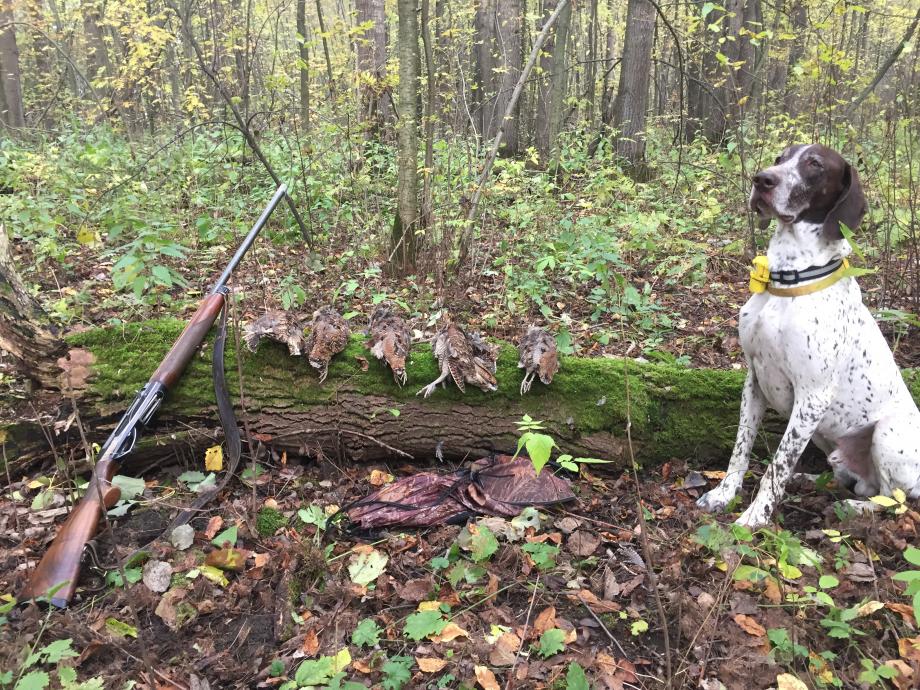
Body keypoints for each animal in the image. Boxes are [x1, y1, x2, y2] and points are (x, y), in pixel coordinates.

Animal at [697, 144, 920, 528]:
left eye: (814, 164)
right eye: (780, 157)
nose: (762, 179)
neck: (789, 279)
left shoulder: (812, 397)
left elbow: (777, 466)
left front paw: (755, 517)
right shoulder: (754, 380)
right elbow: (741, 449)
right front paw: (724, 494)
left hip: (886, 434)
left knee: (893, 499)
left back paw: (857, 508)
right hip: (824, 435)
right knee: (854, 482)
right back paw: (811, 480)